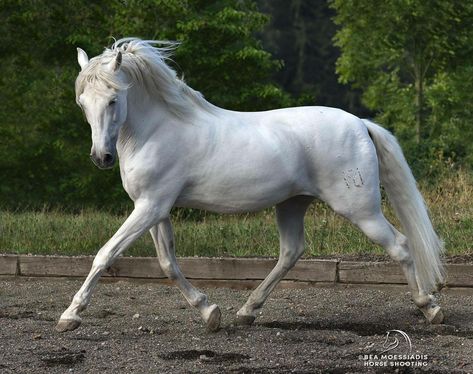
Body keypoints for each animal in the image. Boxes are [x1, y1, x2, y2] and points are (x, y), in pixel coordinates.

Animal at [56, 38, 442, 334]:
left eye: (113, 99)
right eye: (82, 103)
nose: (101, 157)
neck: (155, 131)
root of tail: (361, 124)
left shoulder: (151, 206)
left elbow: (106, 254)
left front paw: (70, 316)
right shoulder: (154, 209)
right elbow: (167, 264)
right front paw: (209, 313)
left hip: (360, 209)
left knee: (400, 245)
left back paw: (430, 307)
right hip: (292, 204)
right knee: (290, 252)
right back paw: (247, 311)